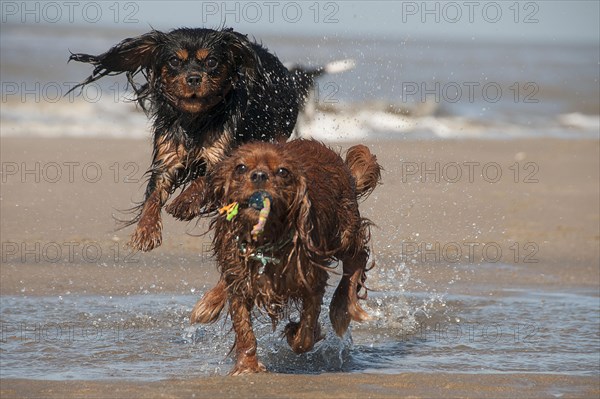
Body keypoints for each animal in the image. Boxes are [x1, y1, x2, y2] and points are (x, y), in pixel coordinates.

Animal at [190, 140, 382, 376]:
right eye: (241, 168)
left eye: (283, 172)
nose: (259, 176)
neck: (266, 241)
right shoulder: (239, 280)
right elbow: (243, 328)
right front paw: (247, 366)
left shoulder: (312, 281)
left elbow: (306, 331)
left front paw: (295, 332)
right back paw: (209, 304)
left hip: (344, 232)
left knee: (357, 259)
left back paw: (341, 307)